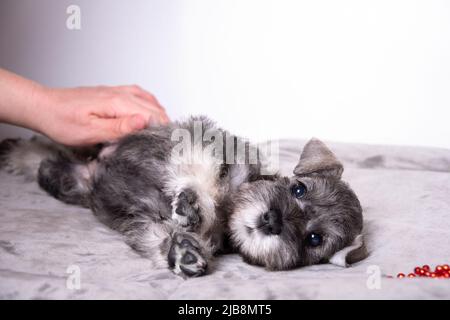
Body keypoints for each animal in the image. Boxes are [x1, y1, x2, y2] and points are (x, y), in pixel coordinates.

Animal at [0, 117, 366, 278]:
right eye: (298, 189)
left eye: (314, 239)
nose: (272, 219)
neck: (230, 210)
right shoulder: (208, 143)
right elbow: (202, 171)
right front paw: (192, 203)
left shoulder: (147, 224)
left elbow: (160, 235)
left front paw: (184, 252)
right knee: (46, 148)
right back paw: (12, 150)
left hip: (70, 184)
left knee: (48, 164)